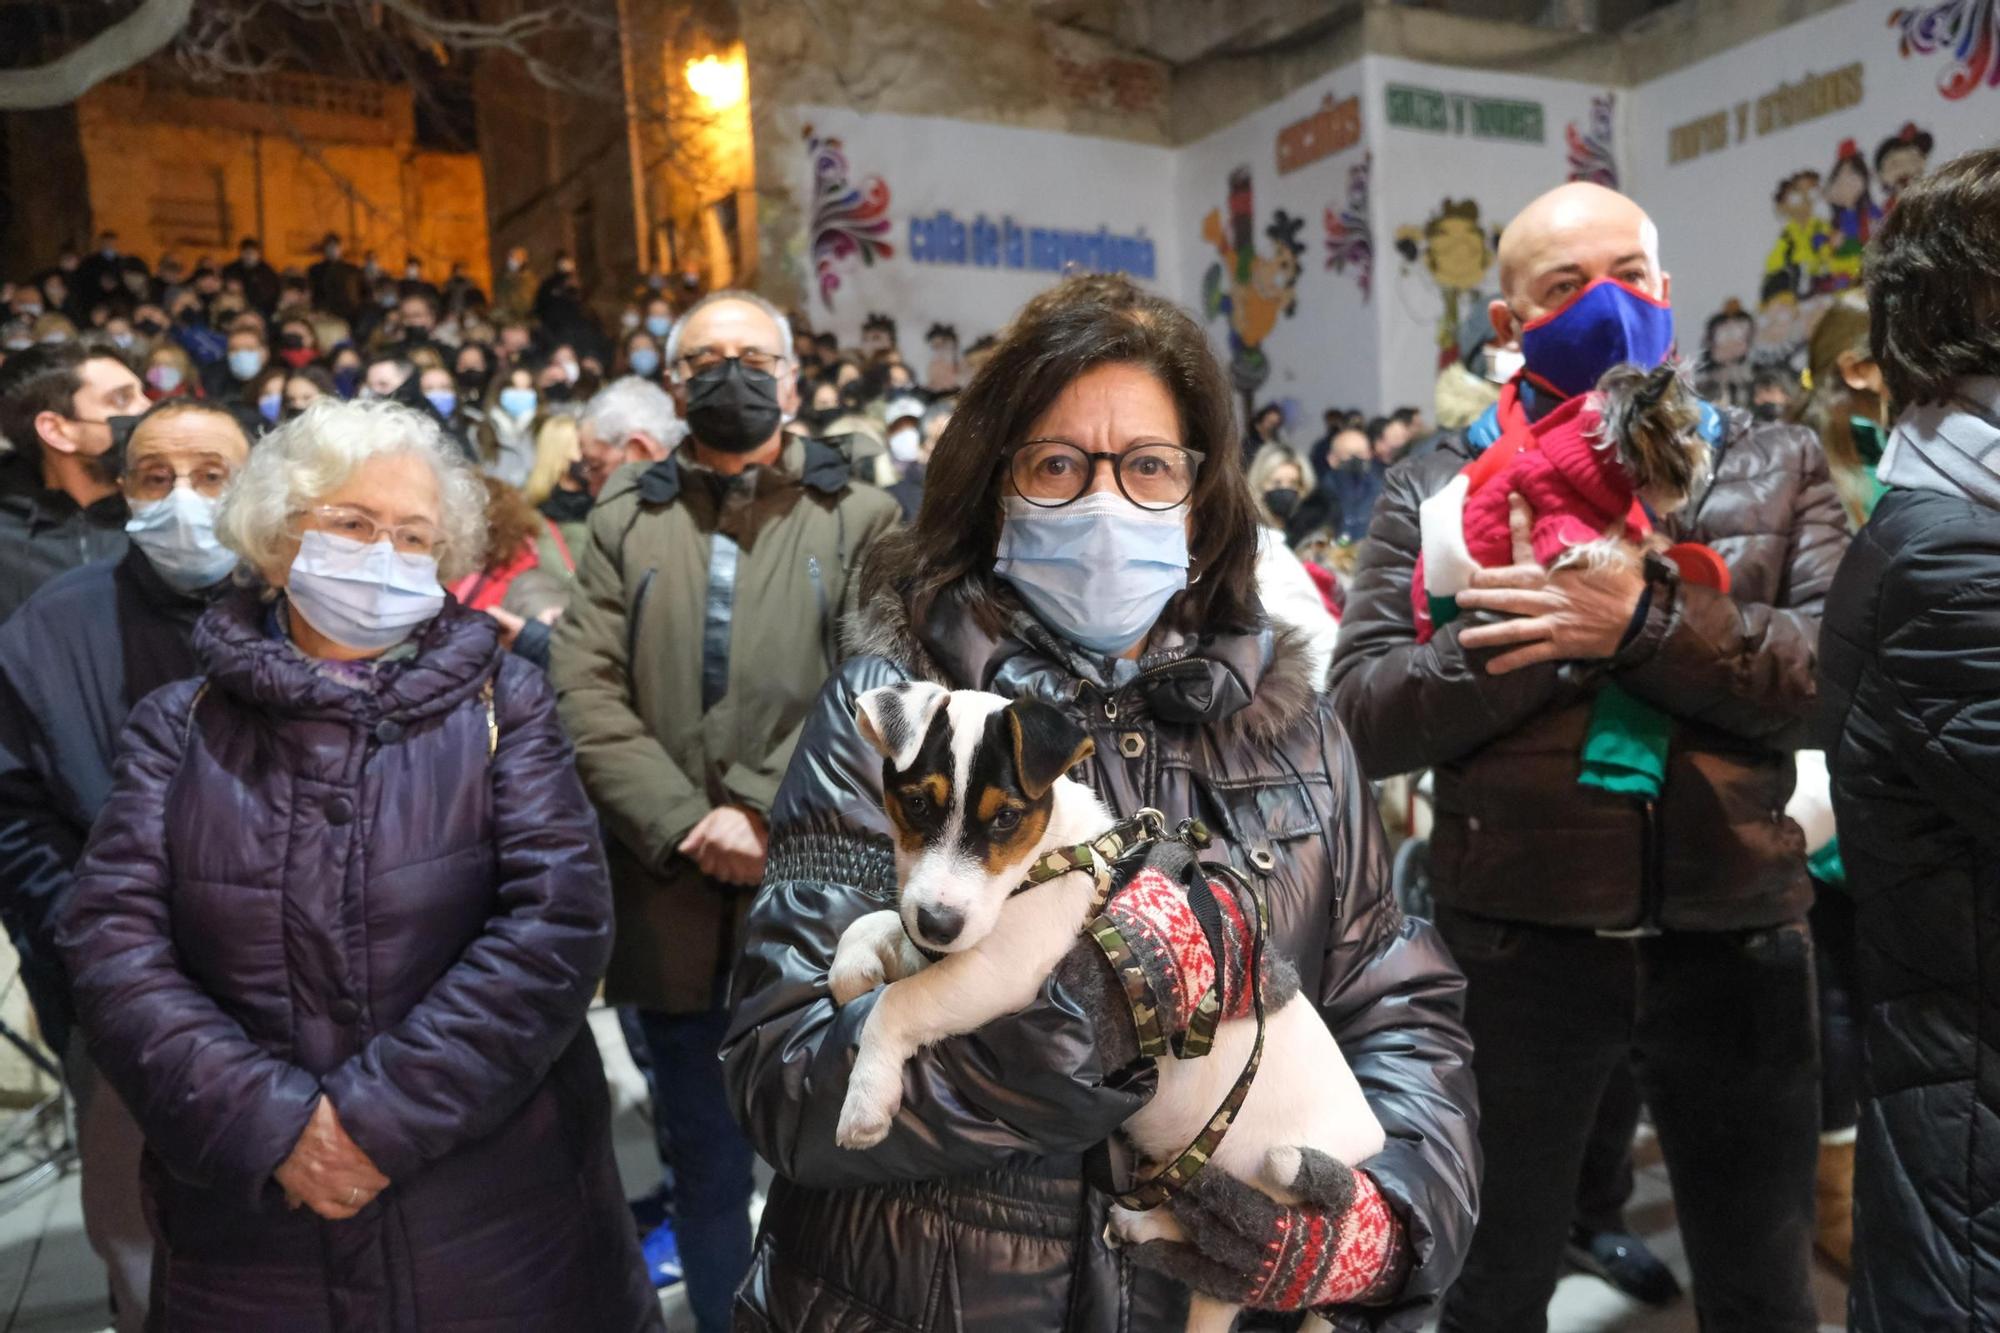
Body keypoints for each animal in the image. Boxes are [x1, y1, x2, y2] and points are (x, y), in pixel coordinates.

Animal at [832, 684, 1392, 1328]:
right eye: (919, 804)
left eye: (1006, 817)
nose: (938, 923)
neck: (1053, 854)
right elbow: (875, 929)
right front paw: (851, 969)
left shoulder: (1003, 970)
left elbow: (900, 1004)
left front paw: (865, 1099)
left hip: (1269, 1186)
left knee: (1228, 1262)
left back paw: (1151, 1227)